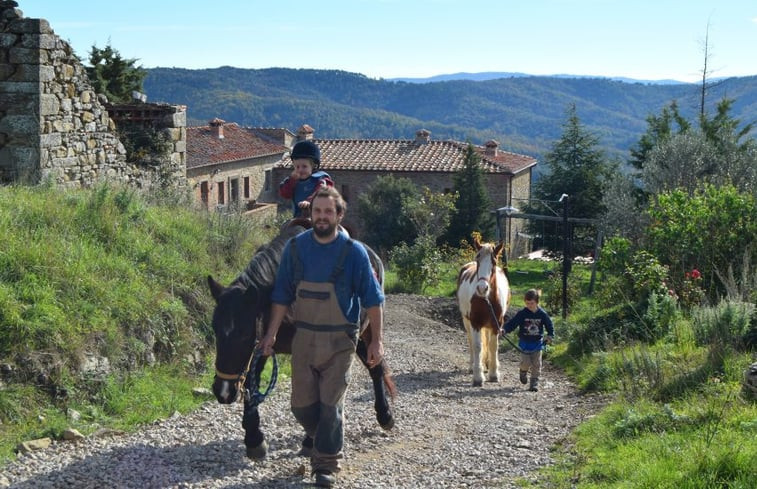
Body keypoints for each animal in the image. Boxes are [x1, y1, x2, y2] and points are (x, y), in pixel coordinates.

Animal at [454, 235, 508, 386]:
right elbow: (478, 346)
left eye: (494, 262)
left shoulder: (496, 324)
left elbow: (493, 346)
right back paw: (473, 365)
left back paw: (489, 364)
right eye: (478, 259)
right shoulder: (475, 323)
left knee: (488, 343)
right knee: (471, 341)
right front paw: (478, 377)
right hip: (466, 321)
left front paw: (494, 374)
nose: (482, 288)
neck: (487, 300)